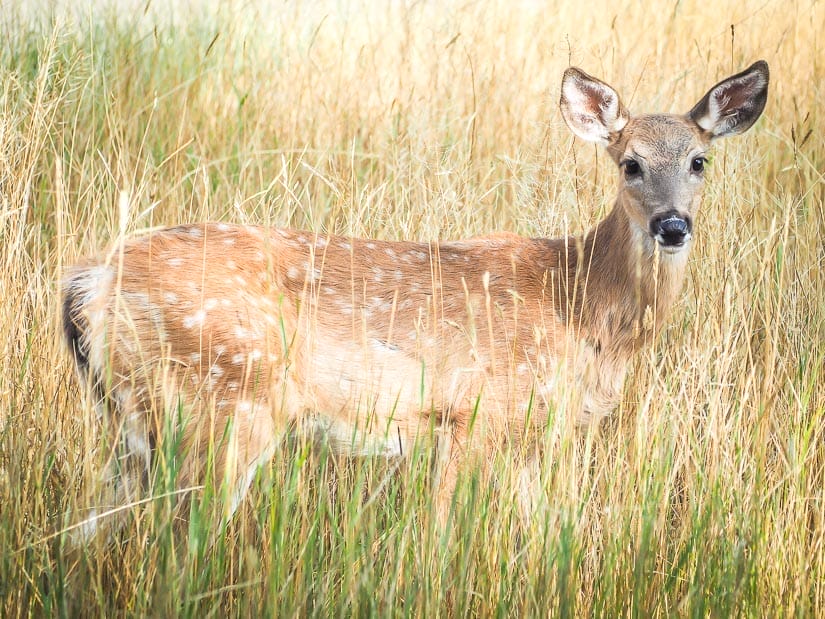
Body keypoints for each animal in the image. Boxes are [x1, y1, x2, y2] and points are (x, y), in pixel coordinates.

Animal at [62, 61, 769, 541]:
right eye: (630, 163)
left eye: (700, 161)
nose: (672, 225)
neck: (579, 304)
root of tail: (93, 279)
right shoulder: (472, 414)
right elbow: (437, 533)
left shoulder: (530, 439)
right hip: (225, 403)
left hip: (135, 427)